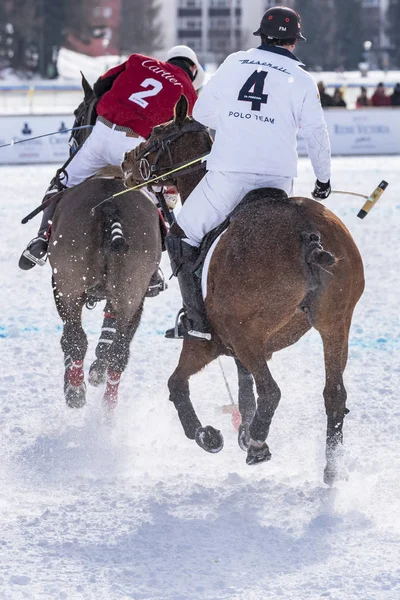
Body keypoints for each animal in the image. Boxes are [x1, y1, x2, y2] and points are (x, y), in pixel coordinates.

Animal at [123, 96, 364, 486]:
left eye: (157, 133)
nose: (127, 161)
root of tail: (308, 234)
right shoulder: (244, 347)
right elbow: (242, 382)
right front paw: (239, 429)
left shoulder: (211, 342)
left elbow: (176, 384)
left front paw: (208, 435)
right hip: (335, 323)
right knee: (333, 394)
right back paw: (331, 469)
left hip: (243, 329)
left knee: (272, 390)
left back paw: (257, 444)